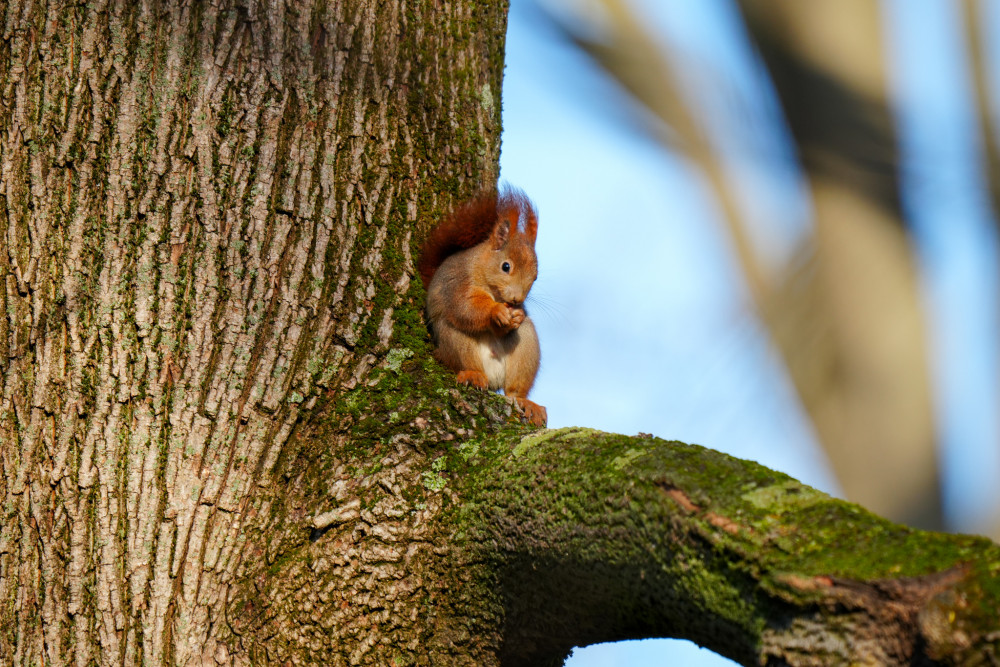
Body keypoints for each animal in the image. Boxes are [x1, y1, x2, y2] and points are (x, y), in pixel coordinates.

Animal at [418, 188, 552, 428]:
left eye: (535, 277)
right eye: (505, 266)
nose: (516, 299)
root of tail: (493, 376)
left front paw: (517, 315)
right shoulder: (457, 285)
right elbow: (465, 308)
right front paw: (495, 312)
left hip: (526, 345)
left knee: (513, 389)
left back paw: (526, 402)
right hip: (453, 341)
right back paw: (473, 375)